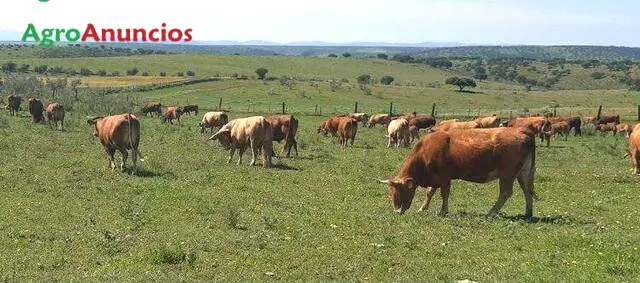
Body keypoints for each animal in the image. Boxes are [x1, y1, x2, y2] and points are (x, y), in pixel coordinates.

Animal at [378, 127, 536, 219]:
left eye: (400, 192)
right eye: (391, 193)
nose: (397, 211)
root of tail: (521, 131)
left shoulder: (444, 177)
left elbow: (444, 194)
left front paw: (443, 212)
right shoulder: (435, 178)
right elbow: (429, 193)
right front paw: (422, 208)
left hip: (507, 173)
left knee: (505, 193)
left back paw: (491, 212)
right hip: (523, 173)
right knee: (527, 191)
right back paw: (528, 213)